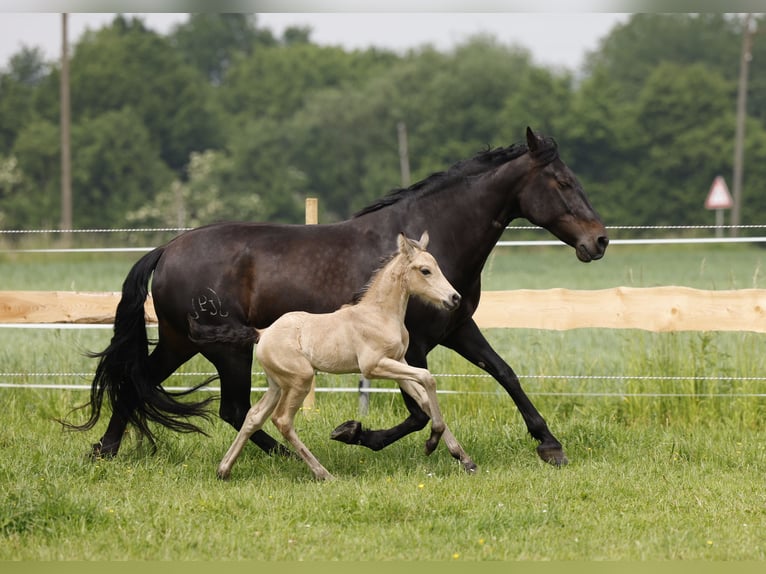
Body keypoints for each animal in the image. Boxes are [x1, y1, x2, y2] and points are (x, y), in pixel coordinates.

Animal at [218, 233, 474, 482]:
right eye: (425, 270)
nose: (454, 298)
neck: (379, 315)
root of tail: (263, 333)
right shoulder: (374, 366)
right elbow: (428, 377)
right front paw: (432, 442)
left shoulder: (398, 363)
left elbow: (423, 398)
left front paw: (464, 458)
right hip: (300, 379)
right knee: (282, 420)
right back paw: (324, 474)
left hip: (277, 384)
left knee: (254, 416)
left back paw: (224, 470)